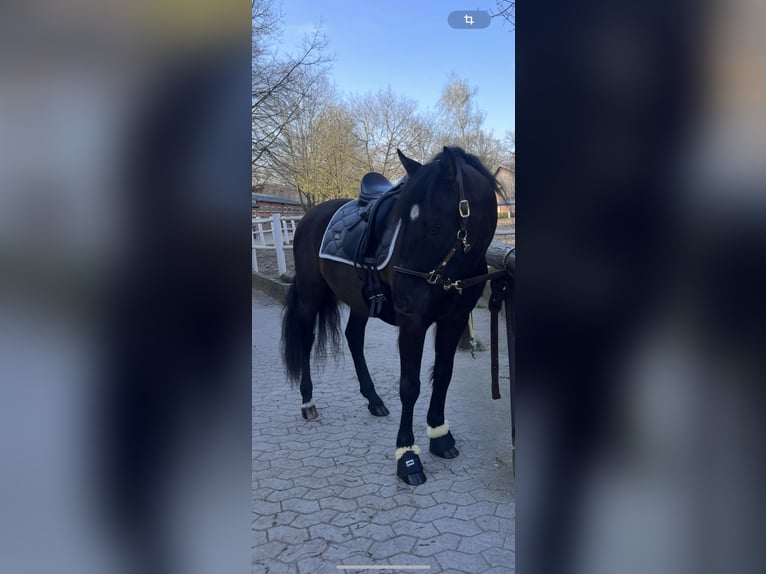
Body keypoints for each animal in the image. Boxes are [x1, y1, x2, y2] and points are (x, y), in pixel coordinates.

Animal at [280, 147, 498, 486]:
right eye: (402, 223)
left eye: (434, 225)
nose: (404, 294)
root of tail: (309, 218)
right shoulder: (413, 323)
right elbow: (409, 386)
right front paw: (408, 455)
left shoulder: (455, 319)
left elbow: (443, 375)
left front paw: (439, 435)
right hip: (310, 296)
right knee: (305, 340)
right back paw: (308, 403)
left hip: (358, 302)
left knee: (354, 339)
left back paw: (374, 400)